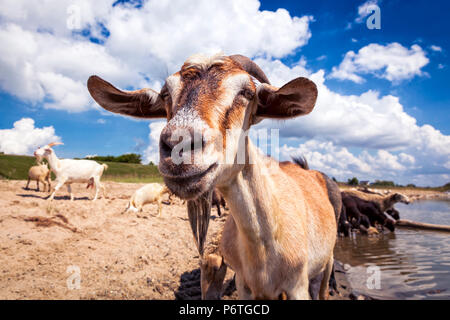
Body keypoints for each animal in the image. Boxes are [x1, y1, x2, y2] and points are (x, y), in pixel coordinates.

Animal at [87, 53, 338, 300]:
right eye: (166, 93)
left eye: (247, 92)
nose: (179, 145)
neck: (263, 247)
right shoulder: (243, 283)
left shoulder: (297, 285)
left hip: (328, 260)